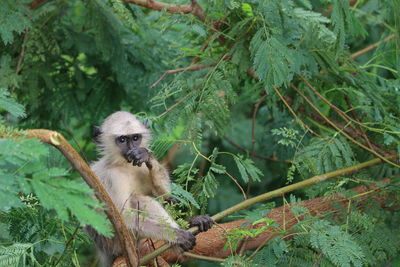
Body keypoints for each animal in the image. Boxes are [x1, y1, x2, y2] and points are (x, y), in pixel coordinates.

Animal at [86, 111, 214, 266]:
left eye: (135, 138)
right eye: (122, 139)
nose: (131, 148)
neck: (124, 165)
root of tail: (104, 250)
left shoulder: (139, 166)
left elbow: (167, 197)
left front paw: (146, 156)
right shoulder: (113, 177)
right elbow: (124, 219)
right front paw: (177, 236)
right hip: (116, 242)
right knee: (139, 200)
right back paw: (177, 243)